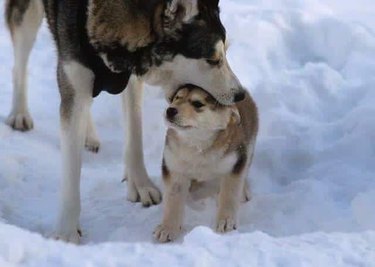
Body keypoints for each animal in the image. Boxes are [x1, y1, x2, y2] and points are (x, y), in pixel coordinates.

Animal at [6, 0, 247, 244]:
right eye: (213, 59)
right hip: (29, 18)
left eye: (225, 52)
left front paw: (140, 183)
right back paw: (19, 113)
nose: (240, 95)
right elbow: (71, 169)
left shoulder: (131, 76)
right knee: (19, 62)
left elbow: (134, 131)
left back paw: (88, 135)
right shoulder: (75, 73)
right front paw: (66, 232)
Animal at [155, 85, 258, 243]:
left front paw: (226, 221)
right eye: (177, 98)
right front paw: (168, 228)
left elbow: (229, 194)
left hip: (249, 145)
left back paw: (244, 191)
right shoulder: (174, 166)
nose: (170, 110)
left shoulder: (234, 162)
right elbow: (173, 200)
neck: (198, 145)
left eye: (197, 104)